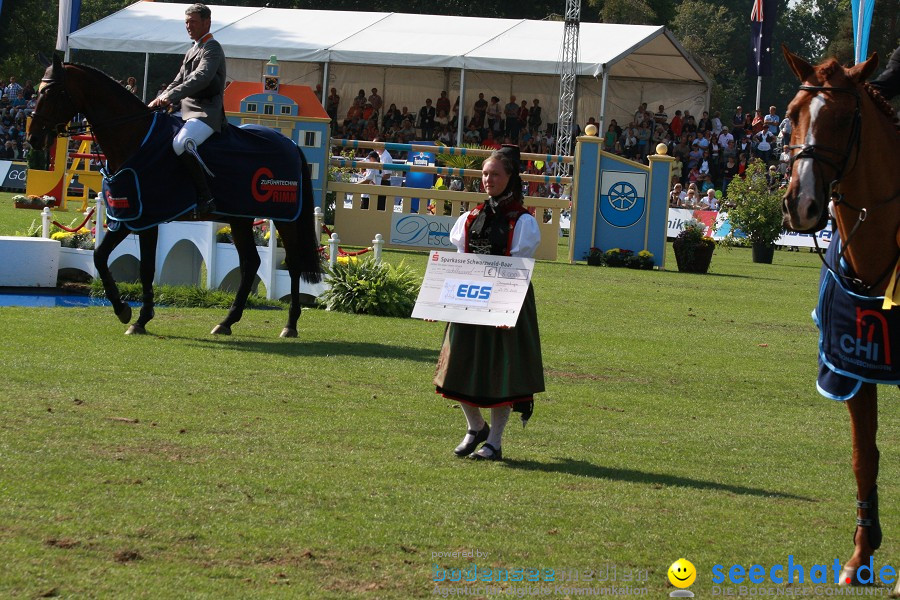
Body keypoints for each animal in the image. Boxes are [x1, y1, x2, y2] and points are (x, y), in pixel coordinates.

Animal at [26, 54, 322, 338]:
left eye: (51, 92)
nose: (33, 139)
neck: (134, 137)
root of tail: (291, 143)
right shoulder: (128, 216)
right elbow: (100, 256)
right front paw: (123, 310)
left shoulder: (147, 218)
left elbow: (146, 268)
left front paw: (139, 318)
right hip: (240, 218)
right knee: (251, 262)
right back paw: (226, 322)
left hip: (285, 218)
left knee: (293, 263)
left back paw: (290, 325)